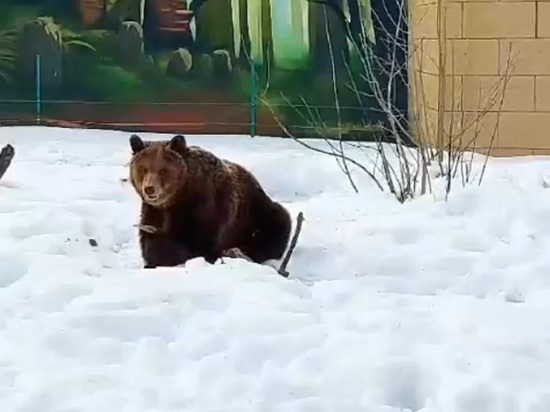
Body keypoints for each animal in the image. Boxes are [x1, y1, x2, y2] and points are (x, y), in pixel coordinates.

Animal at [128, 133, 294, 270]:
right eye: (143, 169)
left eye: (163, 170)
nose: (149, 189)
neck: (178, 198)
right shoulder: (154, 212)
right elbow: (151, 242)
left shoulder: (207, 207)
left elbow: (200, 242)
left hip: (257, 214)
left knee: (276, 225)